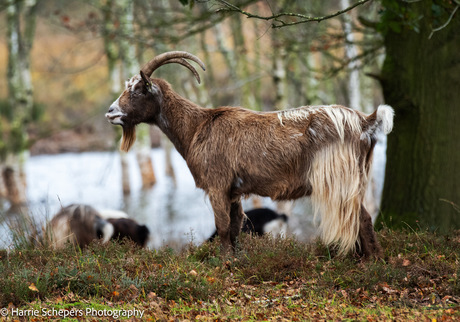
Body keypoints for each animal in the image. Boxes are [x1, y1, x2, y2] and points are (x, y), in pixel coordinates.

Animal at [106, 51, 394, 258]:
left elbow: (222, 226)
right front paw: (235, 260)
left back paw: (369, 262)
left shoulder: (217, 184)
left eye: (138, 90)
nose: (110, 112)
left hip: (340, 179)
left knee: (361, 217)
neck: (196, 126)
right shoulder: (234, 190)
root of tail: (365, 121)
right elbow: (235, 227)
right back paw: (371, 260)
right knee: (363, 216)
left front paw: (223, 264)